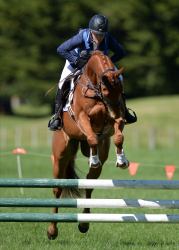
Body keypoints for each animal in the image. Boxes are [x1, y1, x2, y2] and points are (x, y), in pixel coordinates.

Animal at [46, 49, 129, 239]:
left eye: (121, 88)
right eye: (105, 89)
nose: (115, 114)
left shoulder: (116, 118)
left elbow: (118, 137)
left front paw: (121, 161)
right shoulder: (82, 117)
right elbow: (91, 136)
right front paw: (94, 159)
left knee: (89, 185)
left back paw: (84, 224)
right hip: (60, 154)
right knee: (57, 189)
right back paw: (52, 230)